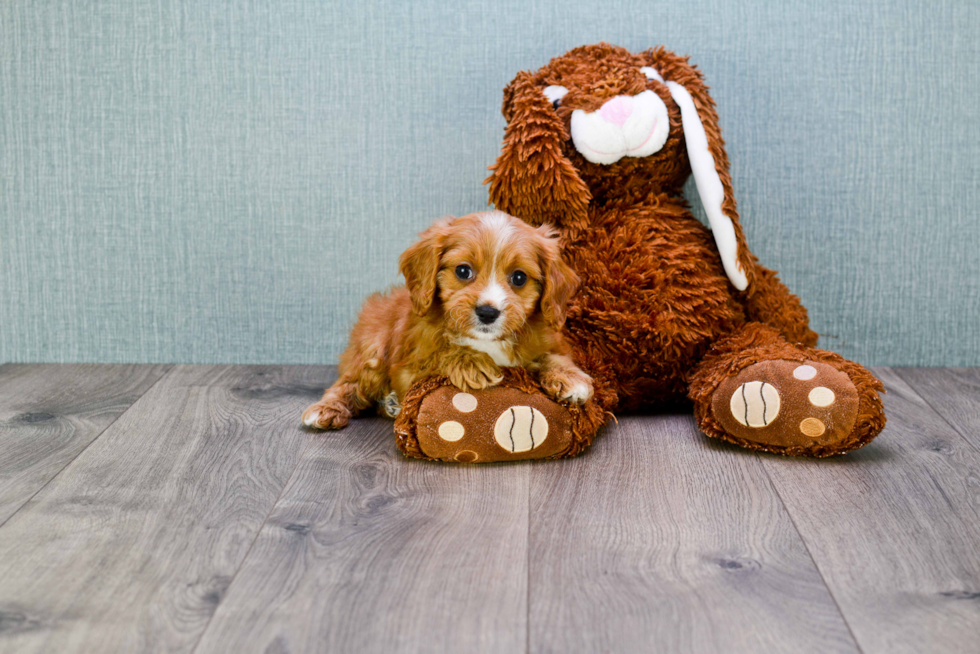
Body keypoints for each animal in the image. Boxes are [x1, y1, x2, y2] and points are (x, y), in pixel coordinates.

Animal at [300, 213, 588, 434]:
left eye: (519, 278)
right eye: (463, 271)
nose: (487, 312)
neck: (486, 341)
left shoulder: (548, 341)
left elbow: (552, 356)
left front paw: (571, 378)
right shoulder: (408, 368)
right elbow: (441, 353)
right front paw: (473, 363)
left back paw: (390, 404)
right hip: (373, 346)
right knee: (349, 383)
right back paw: (325, 409)